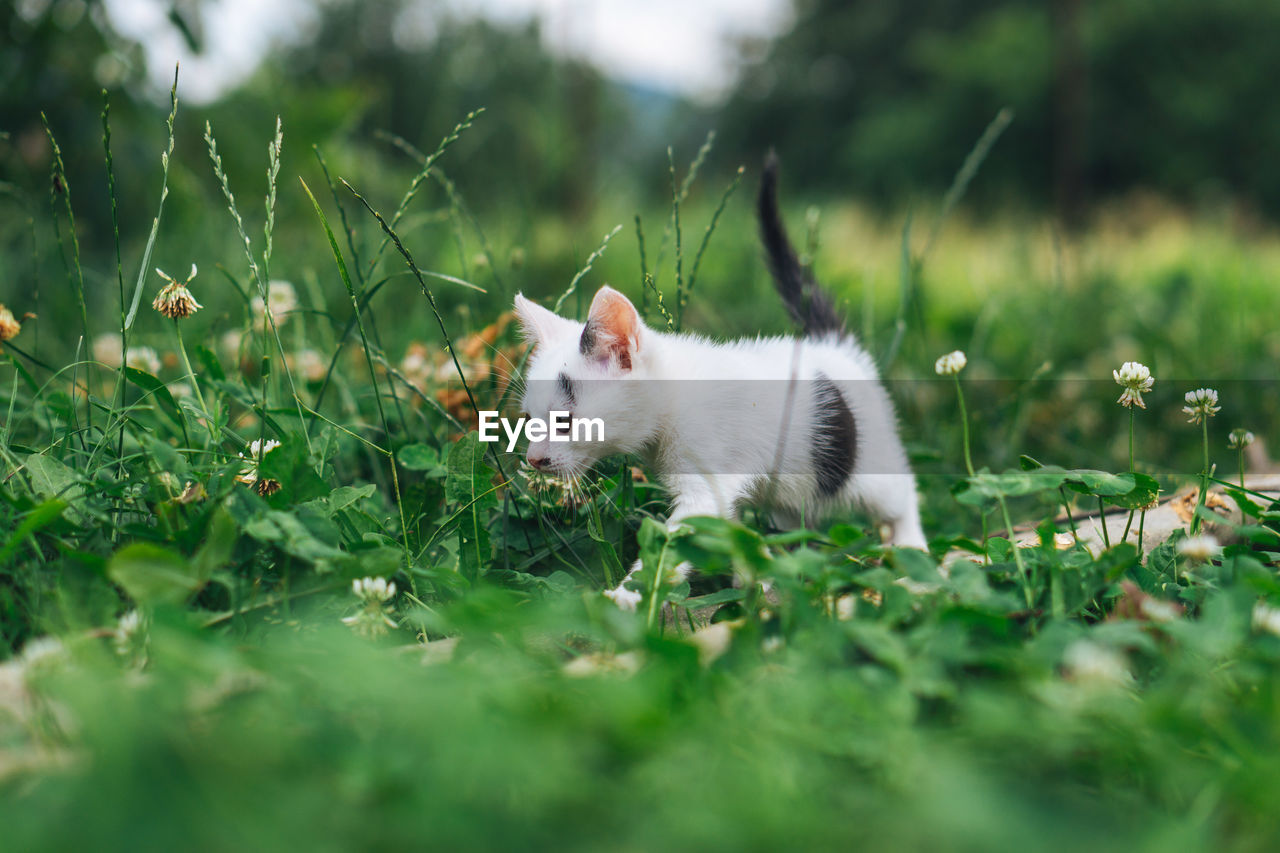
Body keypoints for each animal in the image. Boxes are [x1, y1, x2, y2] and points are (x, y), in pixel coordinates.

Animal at [514, 153, 926, 604]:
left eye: (565, 421)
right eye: (531, 421)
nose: (533, 460)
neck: (673, 401)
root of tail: (834, 346)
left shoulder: (707, 480)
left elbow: (673, 542)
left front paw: (626, 598)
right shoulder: (722, 490)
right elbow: (729, 528)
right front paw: (752, 578)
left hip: (861, 464)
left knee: (902, 493)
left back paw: (914, 554)